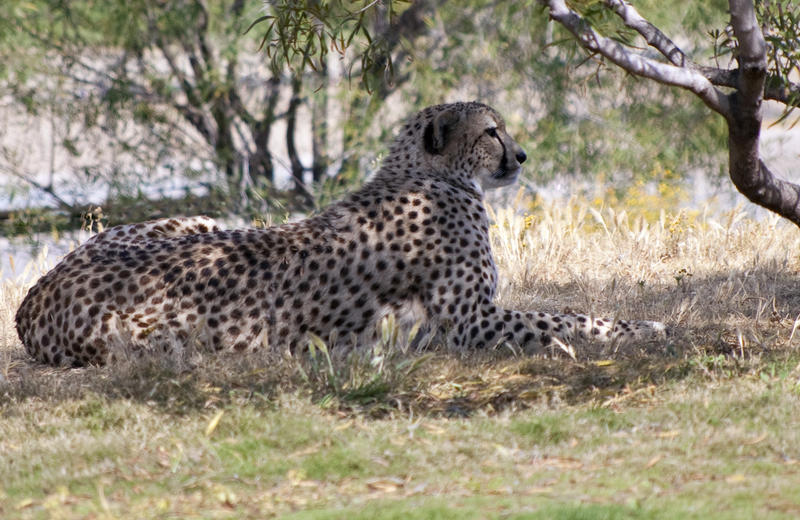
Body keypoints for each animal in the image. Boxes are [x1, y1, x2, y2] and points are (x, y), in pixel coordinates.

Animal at [15, 101, 664, 368]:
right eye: (491, 132)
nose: (522, 157)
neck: (430, 172)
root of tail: (35, 297)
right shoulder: (470, 322)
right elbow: (565, 317)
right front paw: (643, 328)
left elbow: (562, 313)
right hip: (180, 335)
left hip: (197, 221)